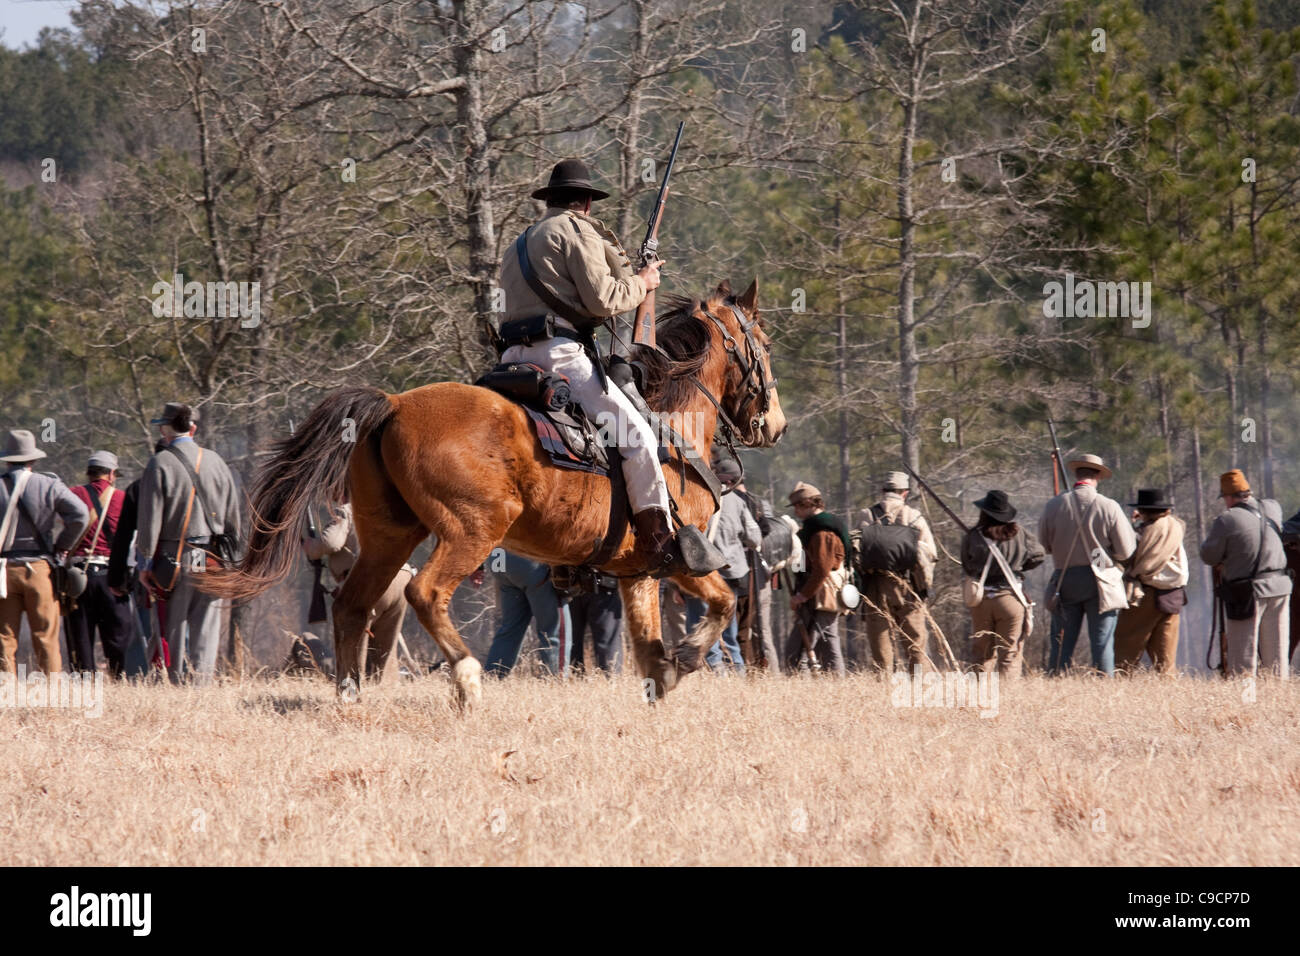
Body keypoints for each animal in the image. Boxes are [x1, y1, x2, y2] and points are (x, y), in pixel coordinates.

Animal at [204, 280, 785, 707]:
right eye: (764, 344)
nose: (775, 425)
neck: (673, 426)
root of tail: (393, 404)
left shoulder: (637, 571)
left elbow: (648, 647)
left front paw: (664, 675)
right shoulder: (681, 557)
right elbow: (723, 601)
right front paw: (685, 659)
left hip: (390, 536)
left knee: (351, 606)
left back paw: (351, 696)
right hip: (472, 532)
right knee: (425, 594)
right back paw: (466, 677)